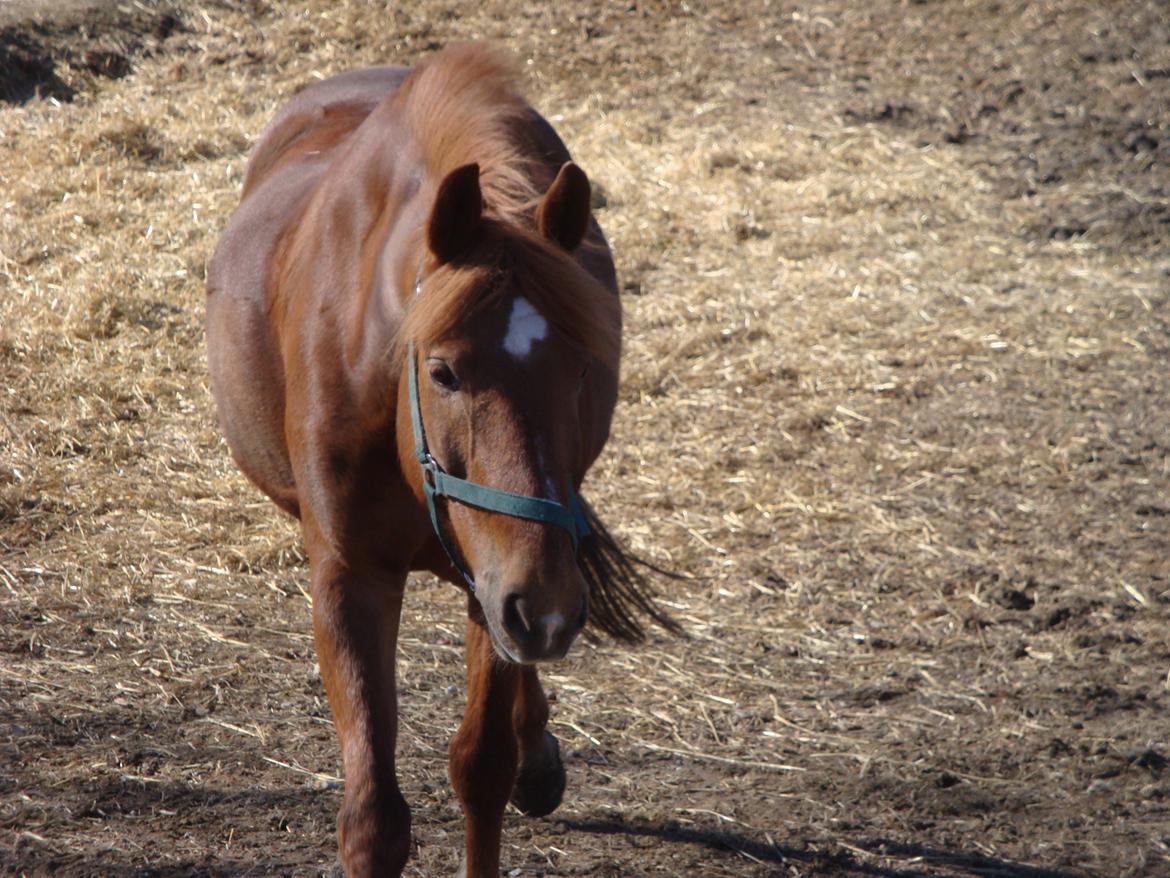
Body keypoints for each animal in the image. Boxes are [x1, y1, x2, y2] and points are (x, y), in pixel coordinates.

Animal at [205, 46, 673, 878]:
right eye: (445, 371)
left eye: (582, 368)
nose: (550, 610)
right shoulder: (353, 575)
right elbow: (374, 819)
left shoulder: (501, 576)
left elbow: (480, 768)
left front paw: (519, 754)